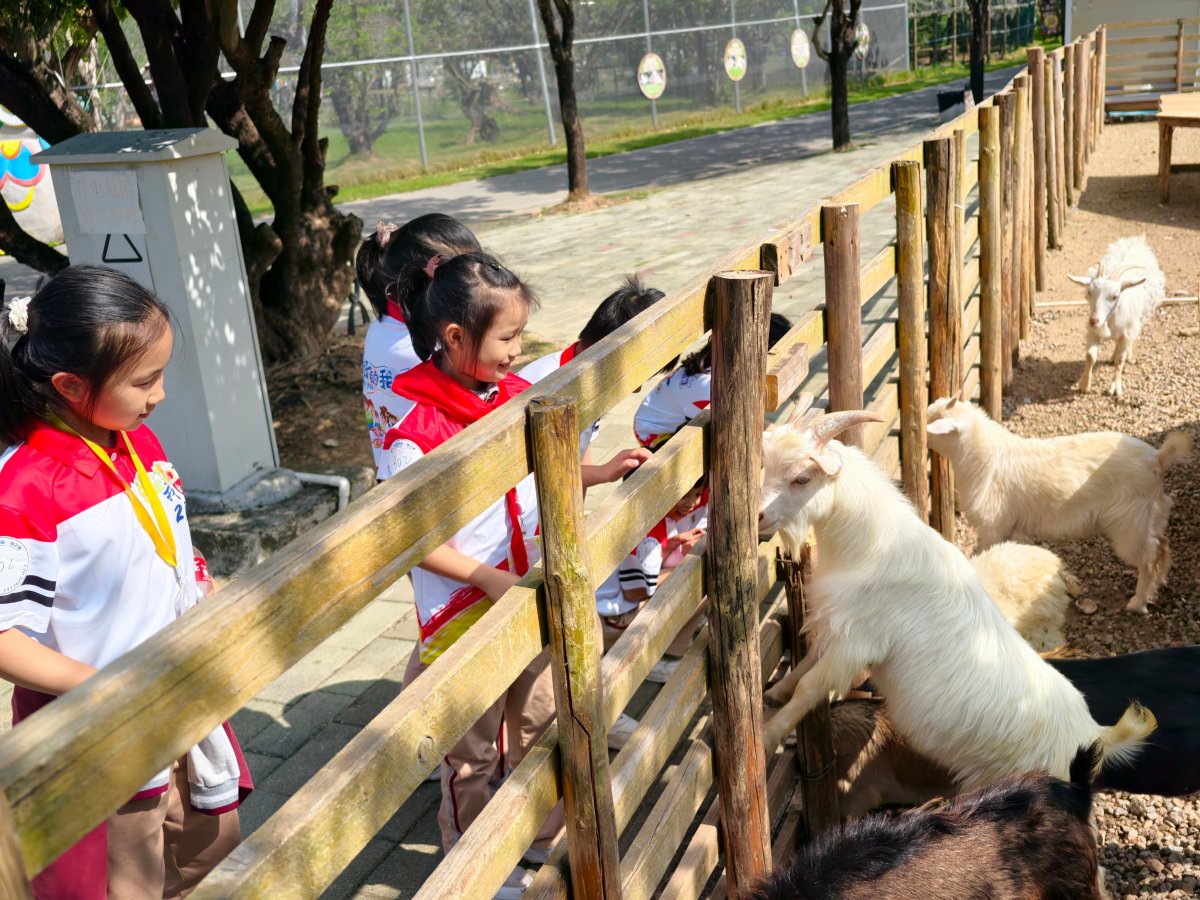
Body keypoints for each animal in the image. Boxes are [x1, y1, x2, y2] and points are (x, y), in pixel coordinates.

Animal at [757, 409, 1155, 791]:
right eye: (768, 468)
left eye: (802, 479)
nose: (758, 516)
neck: (871, 547)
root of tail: (1095, 735)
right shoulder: (836, 626)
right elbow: (806, 664)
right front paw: (775, 692)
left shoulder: (857, 643)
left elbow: (810, 687)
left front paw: (768, 736)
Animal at [926, 394, 1191, 613]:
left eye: (933, 423)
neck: (982, 458)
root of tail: (1157, 458)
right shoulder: (1014, 529)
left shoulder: (994, 526)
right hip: (1152, 513)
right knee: (1162, 547)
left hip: (1130, 522)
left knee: (1149, 558)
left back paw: (1137, 602)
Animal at [1069, 235, 1165, 397]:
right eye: (1089, 293)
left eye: (1115, 296)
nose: (1093, 320)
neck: (1110, 319)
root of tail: (1138, 239)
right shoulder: (1093, 331)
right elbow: (1090, 356)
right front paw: (1084, 384)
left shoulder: (1126, 333)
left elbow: (1120, 361)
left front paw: (1116, 388)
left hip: (1139, 319)